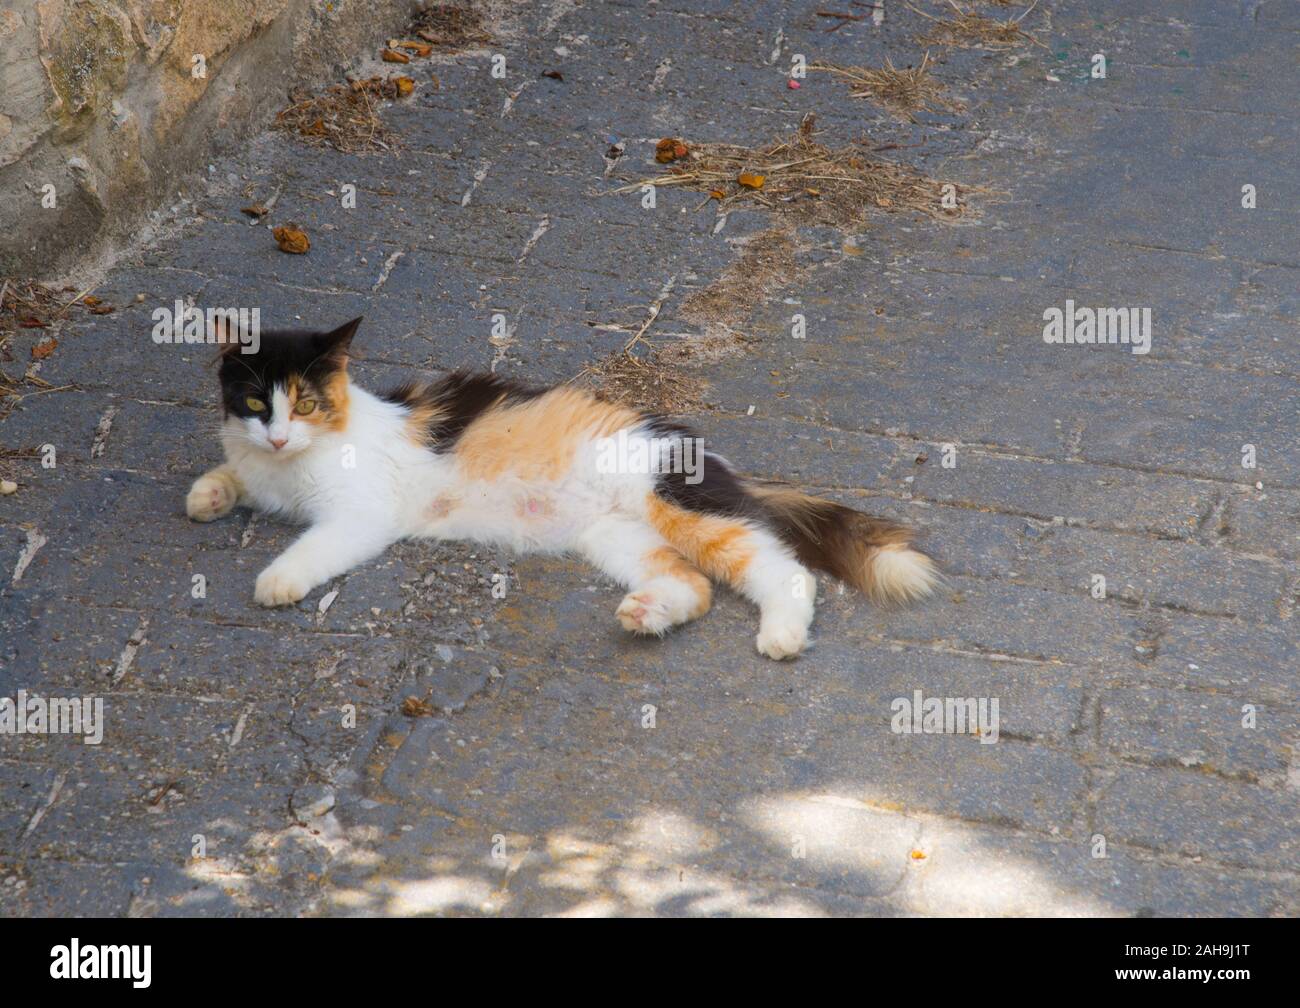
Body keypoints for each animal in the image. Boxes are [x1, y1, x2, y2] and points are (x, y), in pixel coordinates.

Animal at [189, 317, 935, 663]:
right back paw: (648, 613)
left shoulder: (361, 515)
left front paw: (278, 579)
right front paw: (209, 493)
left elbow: (314, 547)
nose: (279, 436)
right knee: (693, 586)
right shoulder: (254, 459)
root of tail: (701, 451)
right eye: (255, 402)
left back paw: (780, 633)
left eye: (307, 402)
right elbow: (231, 471)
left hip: (668, 500)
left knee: (781, 568)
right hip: (614, 536)